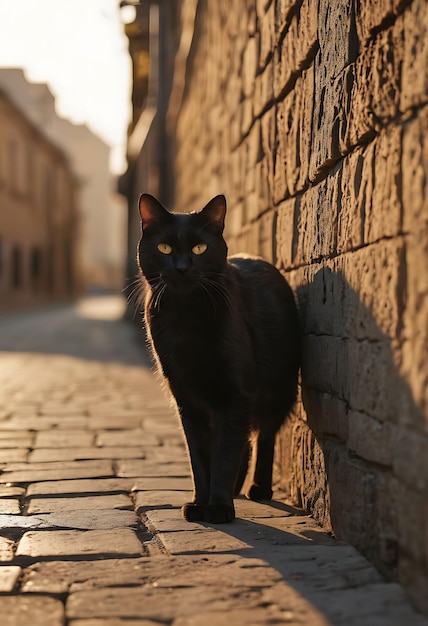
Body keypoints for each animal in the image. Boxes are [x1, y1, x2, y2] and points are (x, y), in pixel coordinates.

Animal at [138, 194, 300, 520]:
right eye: (165, 248)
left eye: (200, 248)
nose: (182, 267)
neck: (184, 319)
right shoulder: (186, 400)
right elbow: (200, 457)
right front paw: (201, 503)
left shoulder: (236, 392)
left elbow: (224, 453)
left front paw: (220, 507)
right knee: (244, 439)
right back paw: (237, 487)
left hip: (278, 391)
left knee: (262, 435)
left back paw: (257, 488)